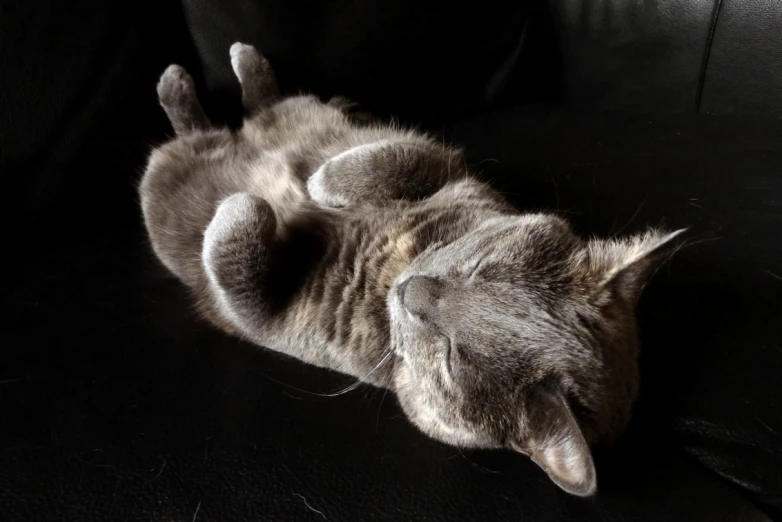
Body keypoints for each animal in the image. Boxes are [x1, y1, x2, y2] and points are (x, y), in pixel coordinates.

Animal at [139, 42, 688, 494]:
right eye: (481, 269)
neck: (395, 259)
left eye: (452, 356)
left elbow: (242, 269)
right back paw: (229, 67)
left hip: (169, 176)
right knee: (267, 107)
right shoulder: (453, 170)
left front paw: (253, 201)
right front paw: (319, 183)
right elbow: (404, 158)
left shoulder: (270, 318)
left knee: (202, 133)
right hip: (287, 117)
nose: (413, 290)